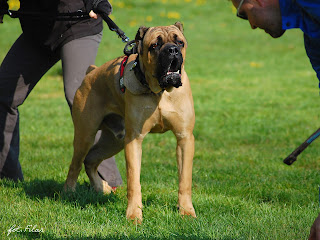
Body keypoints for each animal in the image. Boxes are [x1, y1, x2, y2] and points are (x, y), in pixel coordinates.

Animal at [64, 22, 196, 221]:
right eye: (154, 45)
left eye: (179, 42)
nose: (172, 50)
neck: (160, 92)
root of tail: (92, 72)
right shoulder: (134, 139)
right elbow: (134, 181)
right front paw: (134, 215)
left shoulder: (184, 138)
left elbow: (184, 180)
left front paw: (186, 211)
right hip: (85, 135)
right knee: (76, 164)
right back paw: (69, 193)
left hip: (114, 140)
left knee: (91, 160)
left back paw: (101, 188)